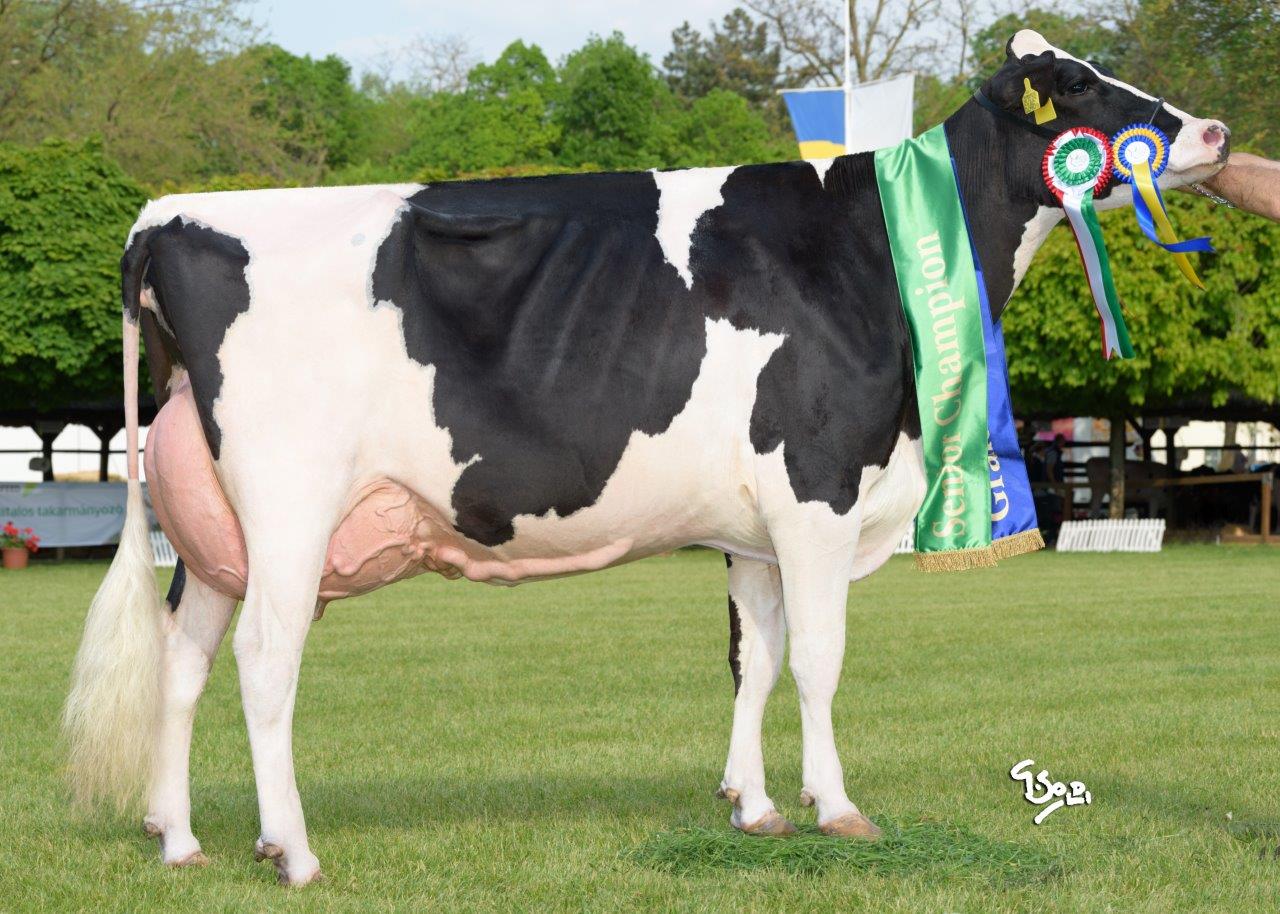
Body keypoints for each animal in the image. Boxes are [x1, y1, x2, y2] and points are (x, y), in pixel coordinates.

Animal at [64, 32, 1223, 880]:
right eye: (1078, 86)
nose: (1210, 129)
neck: (869, 251)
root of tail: (168, 216)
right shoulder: (817, 488)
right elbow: (819, 656)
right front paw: (838, 807)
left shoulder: (754, 526)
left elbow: (754, 658)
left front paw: (754, 806)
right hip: (289, 504)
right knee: (264, 661)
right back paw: (293, 851)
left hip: (215, 531)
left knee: (183, 658)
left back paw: (180, 839)